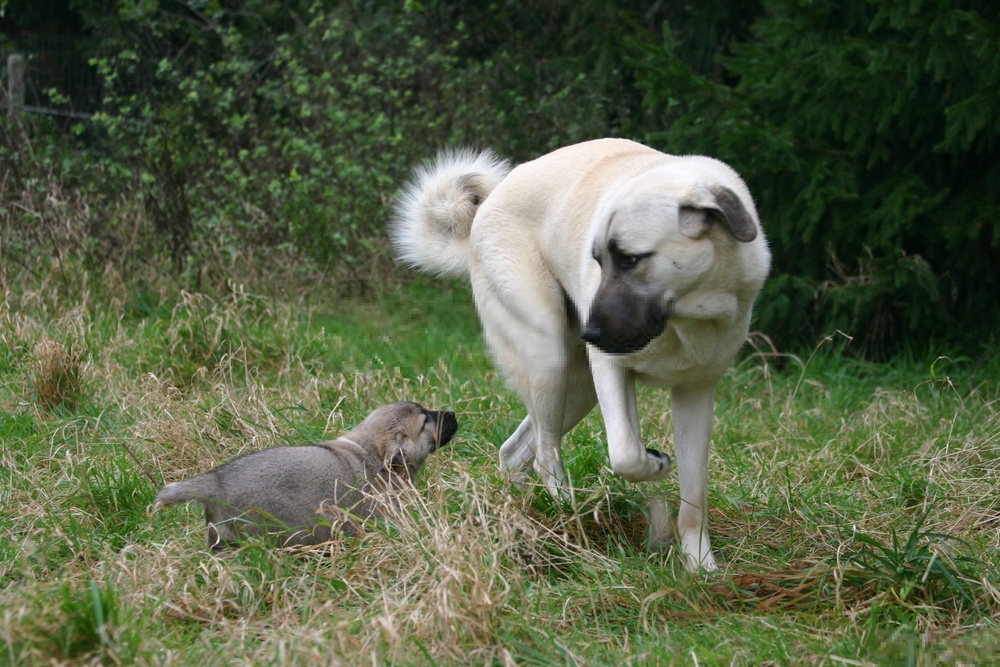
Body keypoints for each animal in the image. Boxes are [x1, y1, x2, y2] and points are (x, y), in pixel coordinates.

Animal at [388, 138, 764, 572]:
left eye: (630, 258)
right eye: (598, 259)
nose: (589, 332)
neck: (682, 319)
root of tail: (488, 205)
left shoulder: (696, 393)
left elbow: (693, 498)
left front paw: (700, 567)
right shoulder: (612, 372)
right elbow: (627, 453)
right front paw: (655, 464)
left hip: (578, 388)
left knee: (515, 452)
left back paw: (524, 512)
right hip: (551, 364)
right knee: (544, 455)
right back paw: (567, 522)